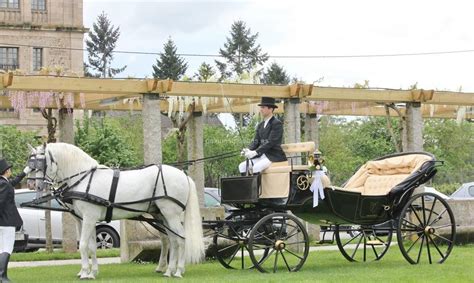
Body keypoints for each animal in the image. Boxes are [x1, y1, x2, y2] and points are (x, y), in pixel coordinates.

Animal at [26, 144, 203, 280]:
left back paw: (178, 271)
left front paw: (85, 273)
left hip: (171, 215)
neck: (84, 179)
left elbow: (83, 245)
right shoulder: (84, 219)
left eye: (41, 163)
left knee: (180, 239)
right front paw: (91, 272)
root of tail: (183, 175)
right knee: (172, 240)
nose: (33, 185)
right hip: (163, 215)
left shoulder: (89, 218)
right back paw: (169, 270)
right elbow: (92, 246)